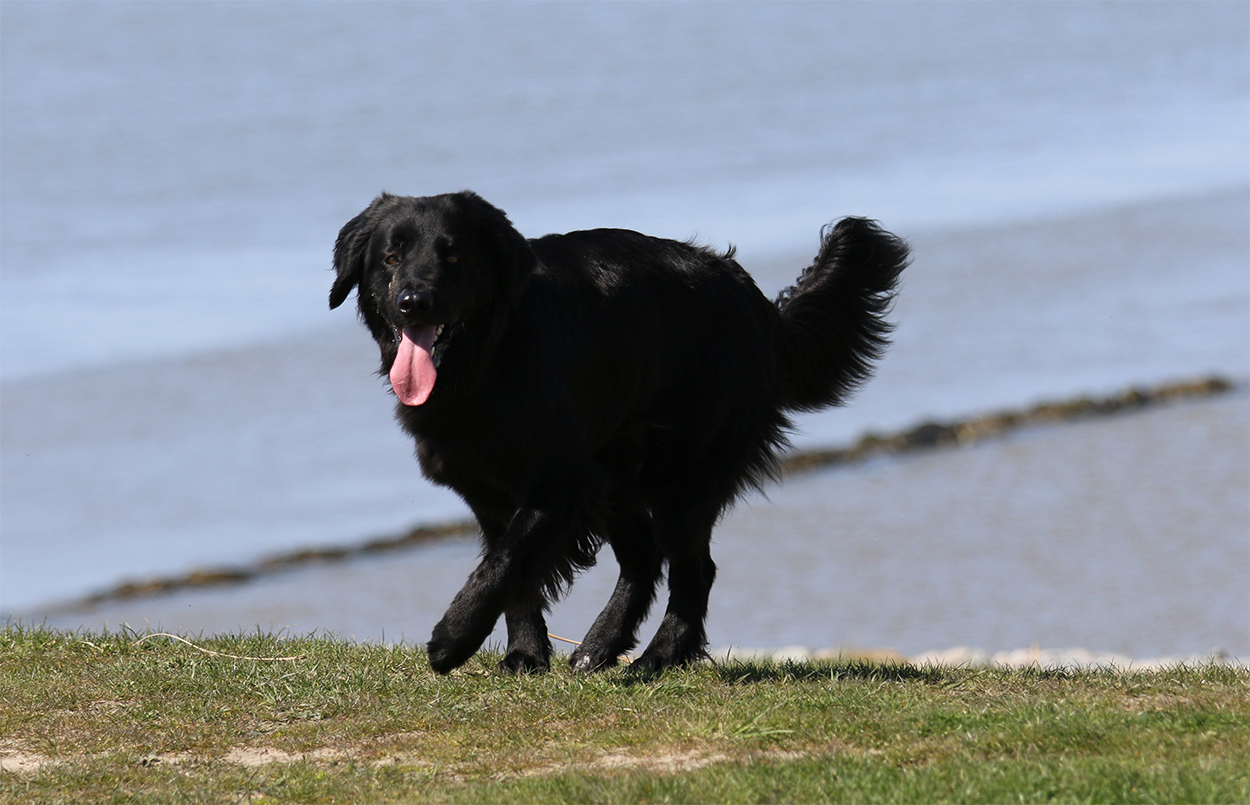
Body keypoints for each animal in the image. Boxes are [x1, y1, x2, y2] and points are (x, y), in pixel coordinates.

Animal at [330, 191, 908, 674]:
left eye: (454, 258)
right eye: (390, 258)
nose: (414, 302)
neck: (489, 361)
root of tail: (758, 304)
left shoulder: (560, 478)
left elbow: (505, 560)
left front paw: (452, 640)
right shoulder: (486, 488)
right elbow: (509, 567)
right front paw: (524, 653)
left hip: (687, 475)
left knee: (694, 569)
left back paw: (657, 658)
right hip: (616, 472)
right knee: (645, 556)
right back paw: (600, 646)